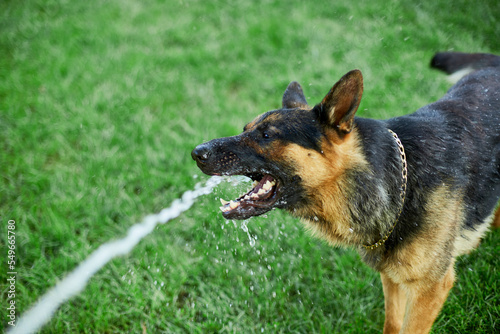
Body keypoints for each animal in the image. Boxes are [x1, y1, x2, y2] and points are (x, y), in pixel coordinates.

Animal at [191, 52, 500, 332]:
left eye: (266, 135)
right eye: (246, 129)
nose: (196, 153)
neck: (396, 181)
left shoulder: (429, 291)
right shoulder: (391, 278)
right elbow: (392, 324)